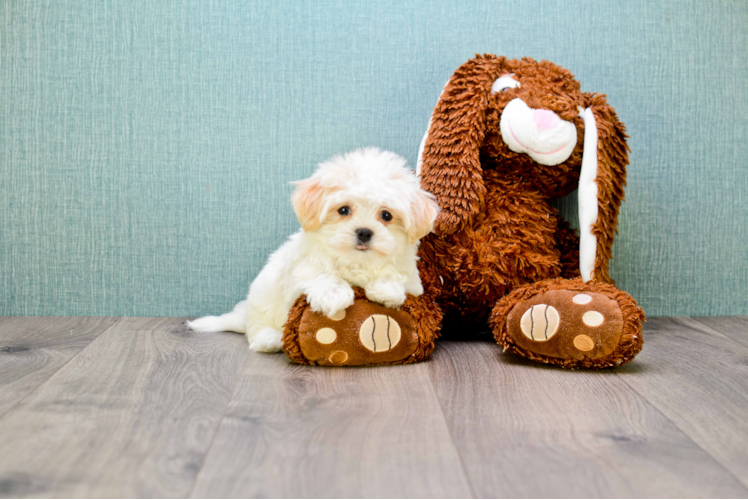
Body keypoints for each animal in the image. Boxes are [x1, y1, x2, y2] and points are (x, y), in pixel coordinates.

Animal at [187, 147, 442, 352]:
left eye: (386, 215)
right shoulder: (301, 272)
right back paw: (271, 339)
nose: (364, 232)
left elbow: (396, 278)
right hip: (263, 297)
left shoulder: (413, 281)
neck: (356, 263)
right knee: (258, 331)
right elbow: (322, 275)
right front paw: (335, 295)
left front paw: (386, 289)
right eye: (343, 210)